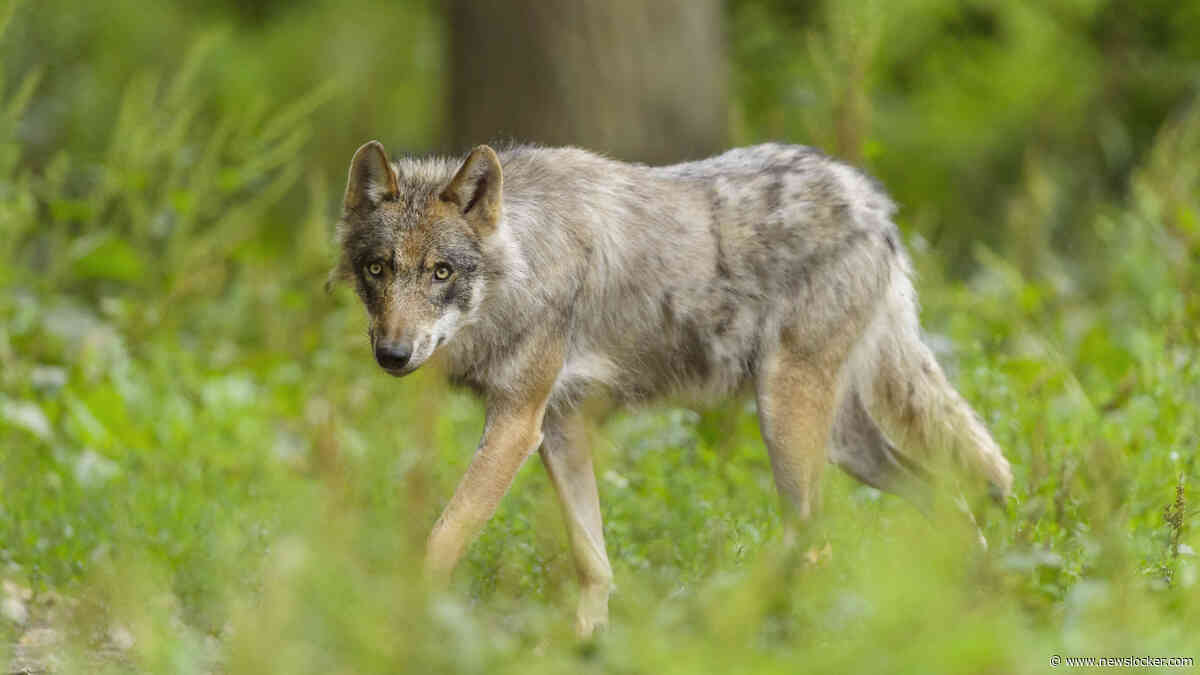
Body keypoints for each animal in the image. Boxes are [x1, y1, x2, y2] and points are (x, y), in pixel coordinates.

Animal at [329, 140, 1013, 636]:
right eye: (378, 269)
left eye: (441, 273)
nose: (392, 355)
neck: (524, 264)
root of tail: (870, 201)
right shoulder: (558, 427)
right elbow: (593, 561)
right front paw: (585, 643)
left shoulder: (517, 424)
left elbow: (441, 539)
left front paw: (405, 621)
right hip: (844, 443)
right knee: (950, 501)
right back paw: (972, 608)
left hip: (786, 423)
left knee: (816, 539)